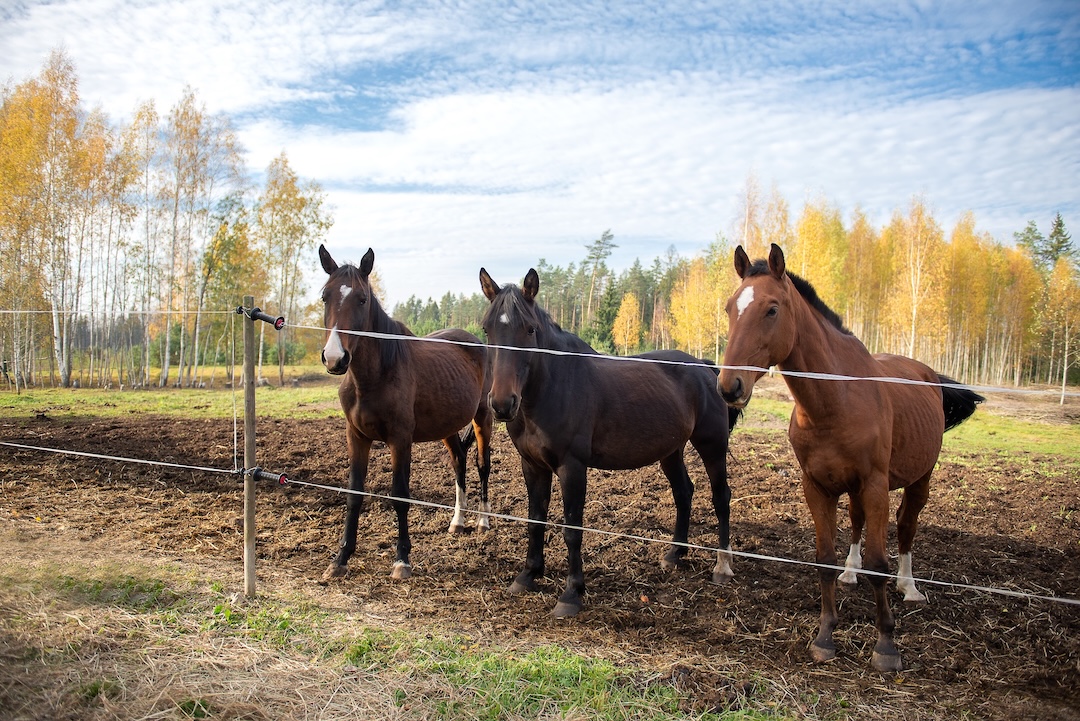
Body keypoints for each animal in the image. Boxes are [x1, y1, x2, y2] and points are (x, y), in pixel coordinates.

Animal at [318, 245, 493, 582]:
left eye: (362, 299)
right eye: (325, 296)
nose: (335, 358)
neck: (374, 376)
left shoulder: (400, 440)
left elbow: (400, 495)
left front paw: (402, 560)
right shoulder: (356, 436)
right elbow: (354, 494)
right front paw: (340, 558)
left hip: (483, 417)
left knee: (482, 464)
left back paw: (483, 521)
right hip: (447, 426)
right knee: (459, 461)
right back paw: (458, 522)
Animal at [479, 267, 741, 617]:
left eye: (530, 329)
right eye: (487, 328)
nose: (502, 404)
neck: (553, 387)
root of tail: (703, 366)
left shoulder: (572, 467)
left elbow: (572, 529)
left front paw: (571, 594)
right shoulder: (532, 465)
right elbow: (535, 521)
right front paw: (528, 575)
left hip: (712, 446)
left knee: (720, 496)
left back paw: (722, 566)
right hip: (671, 451)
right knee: (684, 492)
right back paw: (674, 555)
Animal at [717, 243, 984, 672]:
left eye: (772, 309)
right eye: (729, 308)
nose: (730, 386)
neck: (835, 400)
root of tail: (926, 374)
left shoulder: (875, 485)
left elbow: (879, 563)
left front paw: (886, 646)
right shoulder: (817, 486)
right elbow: (824, 558)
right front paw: (825, 636)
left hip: (919, 479)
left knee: (906, 527)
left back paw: (910, 587)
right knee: (857, 524)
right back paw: (850, 572)